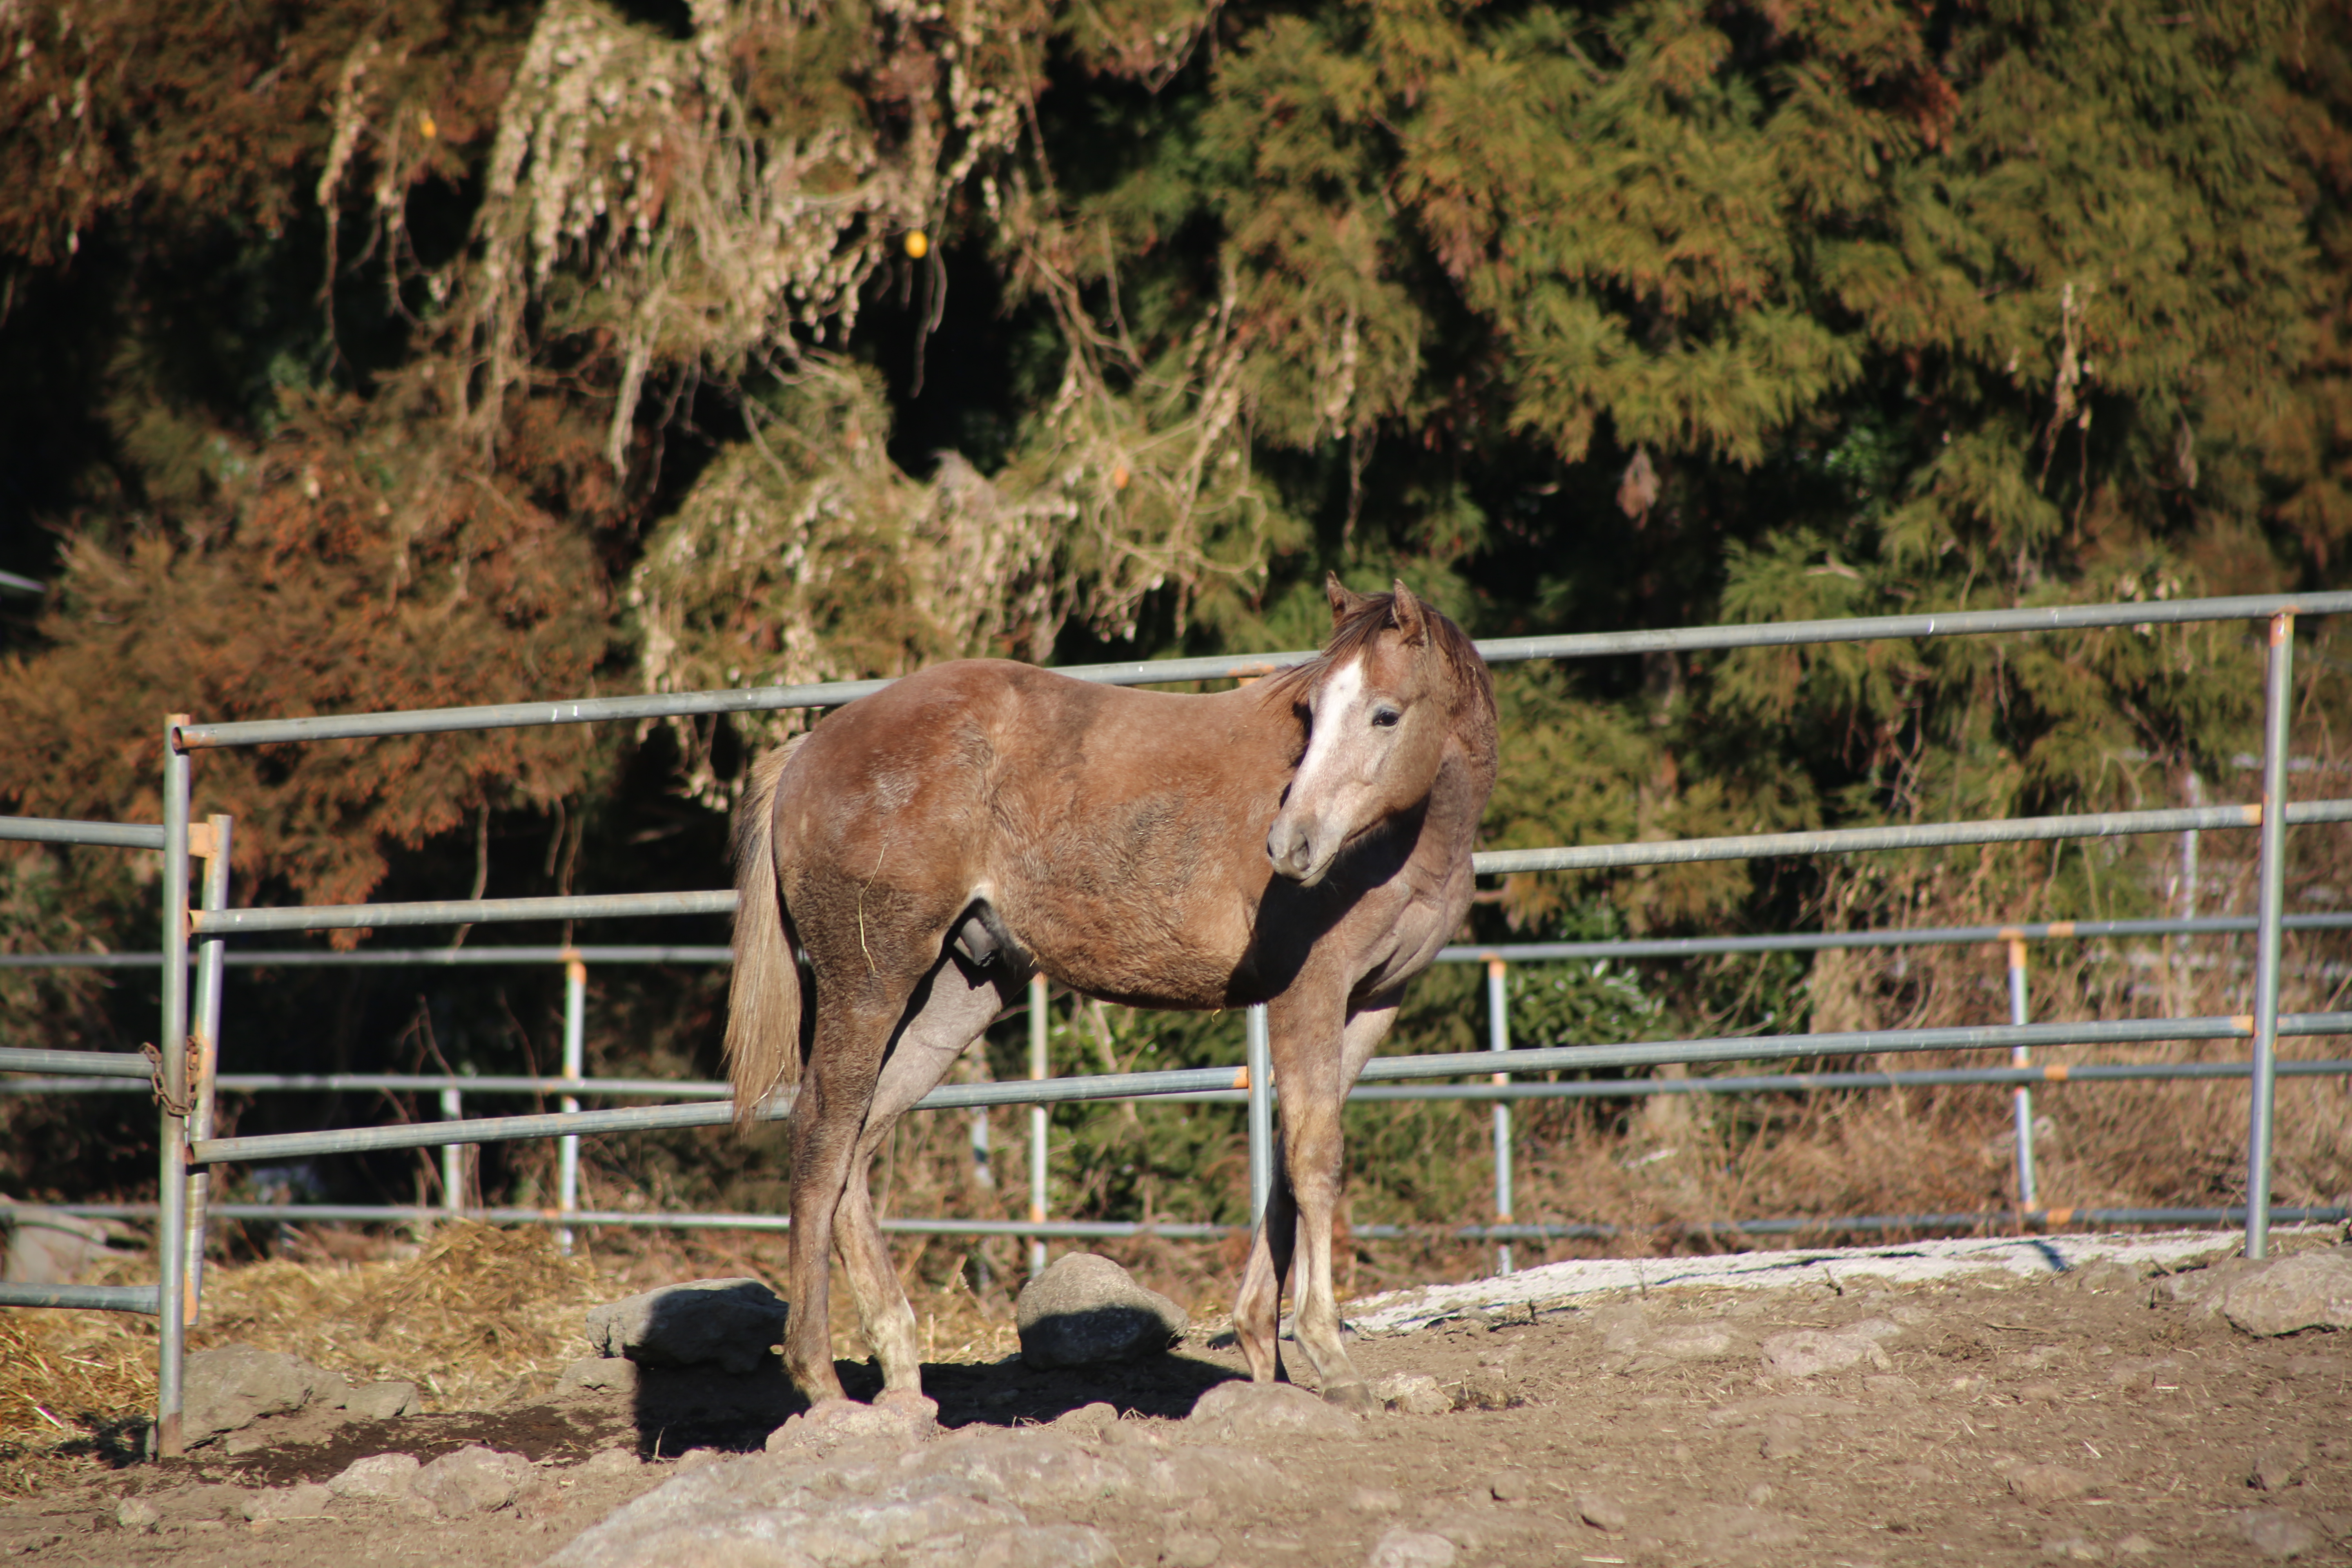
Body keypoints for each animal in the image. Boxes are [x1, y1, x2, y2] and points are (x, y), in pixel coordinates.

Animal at [734, 576, 1496, 1410]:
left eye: (1385, 713)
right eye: (1313, 711)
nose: (1290, 845)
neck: (1406, 843)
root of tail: (810, 747)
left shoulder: (1373, 1006)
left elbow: (1290, 1165)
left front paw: (1265, 1349)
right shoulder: (1310, 997)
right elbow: (1315, 1160)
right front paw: (1328, 1356)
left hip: (961, 992)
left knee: (860, 1145)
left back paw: (903, 1374)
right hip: (871, 982)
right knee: (821, 1135)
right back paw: (821, 1379)